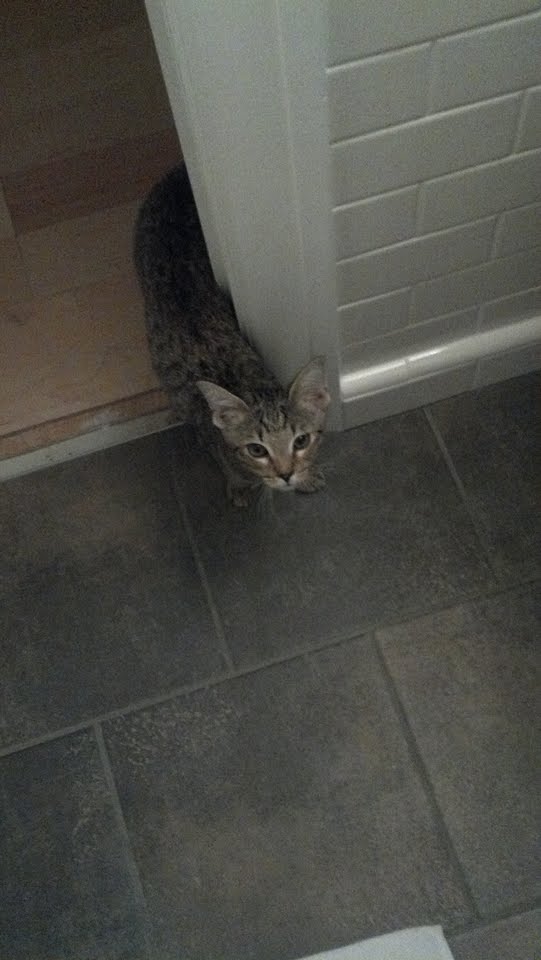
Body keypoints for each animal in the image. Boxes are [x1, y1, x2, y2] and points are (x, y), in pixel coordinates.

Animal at [134, 163, 330, 506]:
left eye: (301, 441)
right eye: (256, 450)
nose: (286, 474)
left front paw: (306, 476)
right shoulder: (206, 433)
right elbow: (224, 461)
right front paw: (239, 484)